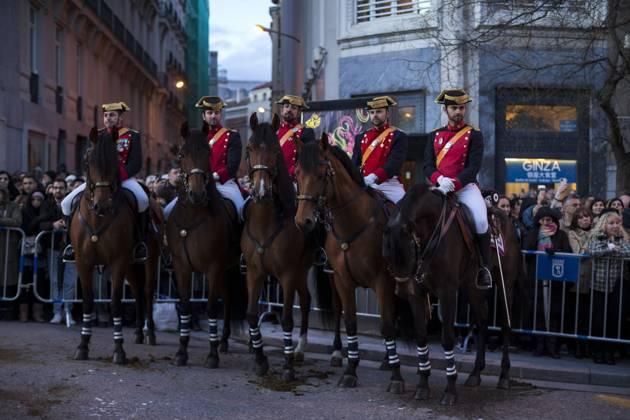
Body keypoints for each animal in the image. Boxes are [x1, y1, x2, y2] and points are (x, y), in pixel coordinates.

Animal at [72, 126, 159, 362]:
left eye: (114, 162)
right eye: (87, 160)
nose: (101, 205)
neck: (97, 218)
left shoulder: (118, 261)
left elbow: (115, 303)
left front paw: (119, 349)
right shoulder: (83, 262)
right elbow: (88, 301)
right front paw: (83, 345)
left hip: (149, 259)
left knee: (147, 291)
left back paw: (150, 333)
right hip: (131, 265)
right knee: (137, 291)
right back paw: (138, 332)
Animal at [165, 121, 244, 368]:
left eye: (207, 153)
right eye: (182, 154)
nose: (197, 193)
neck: (193, 214)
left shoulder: (213, 267)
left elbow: (210, 307)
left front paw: (211, 355)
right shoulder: (181, 267)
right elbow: (185, 306)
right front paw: (181, 352)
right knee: (228, 298)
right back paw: (224, 341)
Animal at [244, 112, 318, 380]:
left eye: (276, 150)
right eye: (250, 148)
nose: (261, 190)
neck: (266, 221)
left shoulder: (286, 275)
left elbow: (286, 319)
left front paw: (286, 366)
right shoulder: (255, 273)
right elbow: (252, 315)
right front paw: (260, 358)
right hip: (301, 271)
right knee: (305, 301)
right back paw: (299, 349)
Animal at [294, 134, 412, 394]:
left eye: (322, 174)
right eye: (297, 173)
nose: (303, 221)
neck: (353, 222)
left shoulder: (383, 281)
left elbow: (386, 324)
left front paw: (397, 377)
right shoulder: (342, 280)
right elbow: (349, 321)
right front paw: (350, 370)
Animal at [386, 183, 524, 404]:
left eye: (408, 250)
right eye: (388, 252)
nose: (401, 290)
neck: (432, 230)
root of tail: (506, 216)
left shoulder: (447, 292)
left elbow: (448, 339)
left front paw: (450, 390)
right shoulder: (417, 294)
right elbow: (421, 337)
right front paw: (423, 385)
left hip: (506, 285)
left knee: (505, 325)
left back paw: (504, 376)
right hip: (472, 287)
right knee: (483, 320)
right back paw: (475, 373)